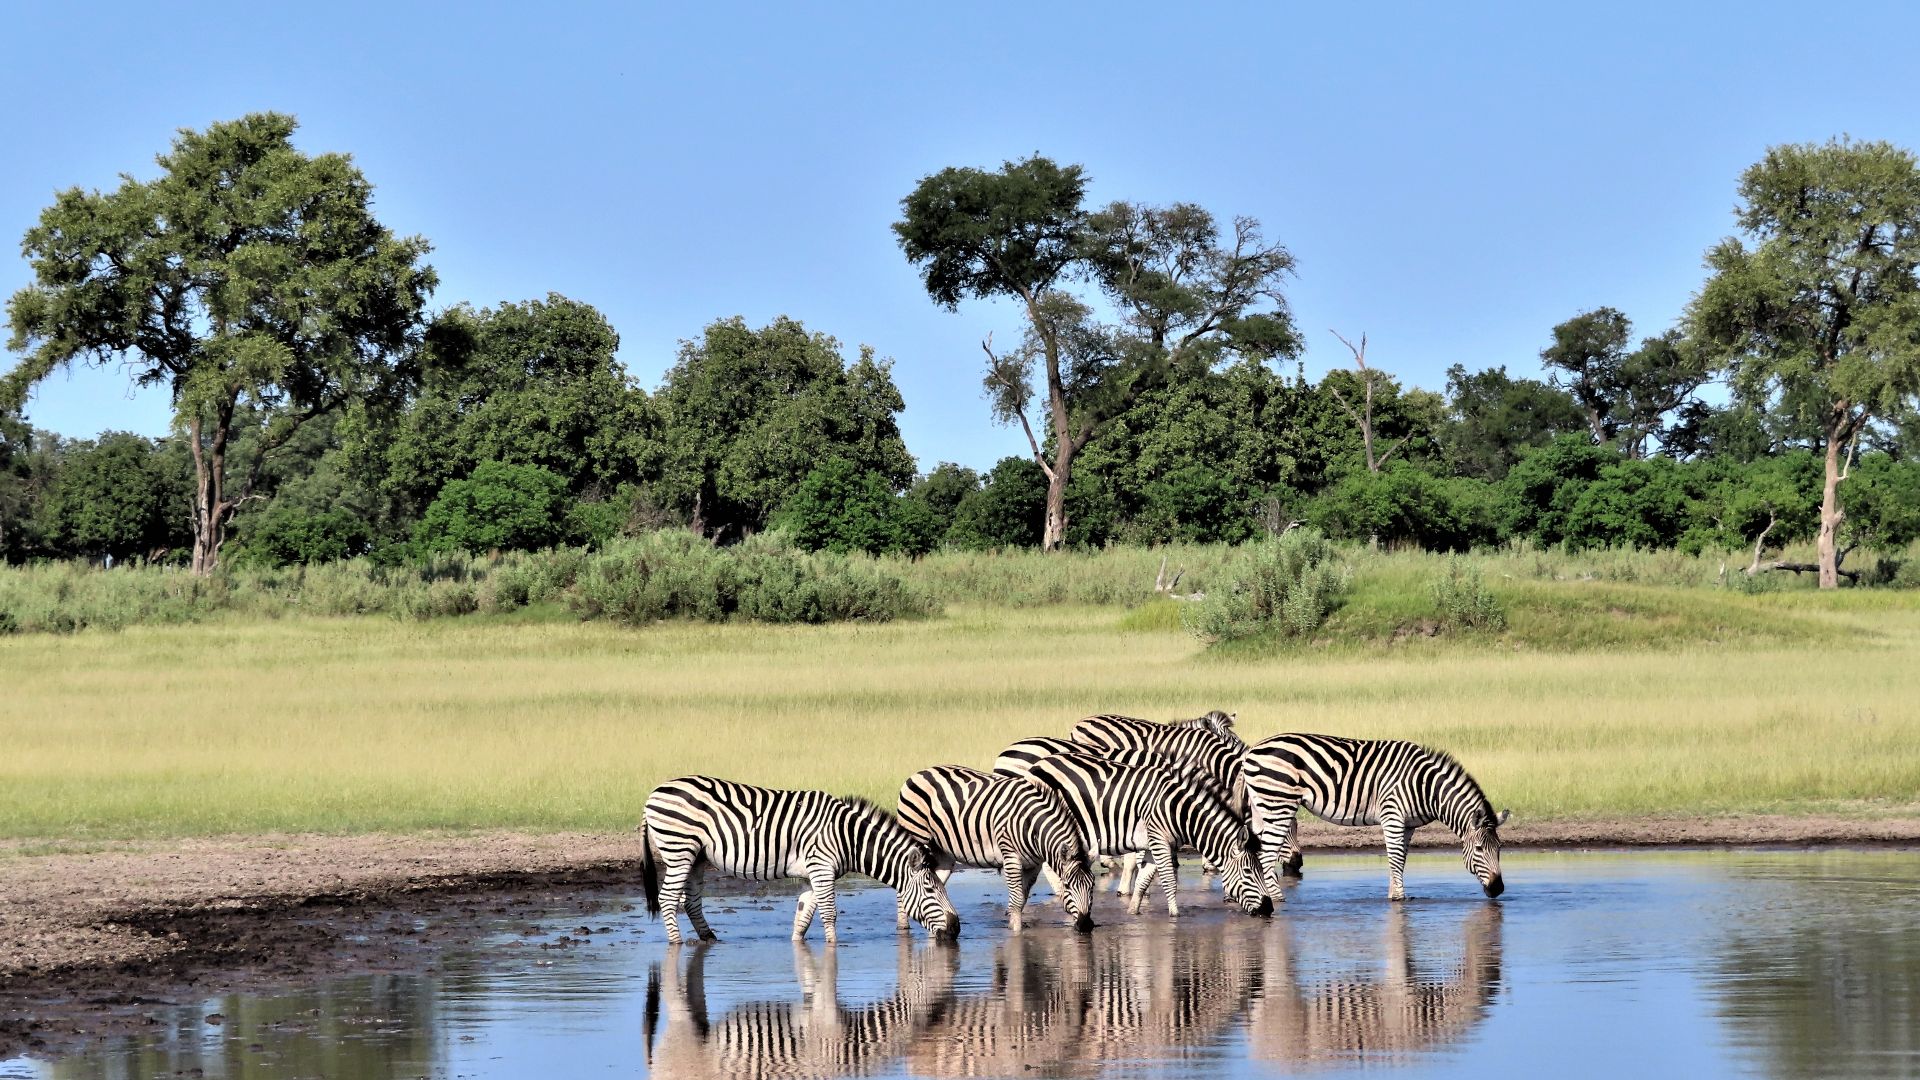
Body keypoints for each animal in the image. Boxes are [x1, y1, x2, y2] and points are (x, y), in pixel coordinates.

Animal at [639, 775, 959, 944]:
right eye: (931, 889)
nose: (956, 929)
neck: (847, 836)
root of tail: (653, 793)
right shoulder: (822, 868)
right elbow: (828, 914)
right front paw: (834, 949)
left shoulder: (812, 874)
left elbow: (803, 918)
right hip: (679, 849)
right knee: (668, 898)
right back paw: (677, 944)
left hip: (696, 857)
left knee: (690, 901)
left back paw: (710, 940)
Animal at [895, 764, 1096, 932]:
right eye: (1067, 885)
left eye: (1092, 885)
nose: (1085, 925)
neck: (1031, 825)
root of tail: (918, 773)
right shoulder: (1011, 856)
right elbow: (1017, 899)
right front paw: (1016, 935)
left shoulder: (1033, 865)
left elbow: (1021, 898)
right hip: (916, 834)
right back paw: (903, 928)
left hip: (943, 853)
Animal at [1022, 751, 1272, 917]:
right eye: (1249, 872)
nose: (1269, 909)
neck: (1179, 810)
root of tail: (1038, 764)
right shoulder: (1160, 840)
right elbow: (1169, 881)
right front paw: (1175, 915)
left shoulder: (1154, 845)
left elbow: (1142, 882)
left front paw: (1133, 913)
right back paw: (1059, 894)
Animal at [1240, 734, 1511, 900]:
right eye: (1479, 849)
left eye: (1500, 848)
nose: (1498, 889)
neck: (1424, 786)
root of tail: (1252, 752)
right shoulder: (1392, 814)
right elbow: (1395, 857)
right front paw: (1399, 898)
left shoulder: (1408, 825)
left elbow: (1400, 860)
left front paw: (1394, 894)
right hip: (1279, 804)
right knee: (1266, 854)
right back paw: (1277, 898)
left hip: (1262, 807)